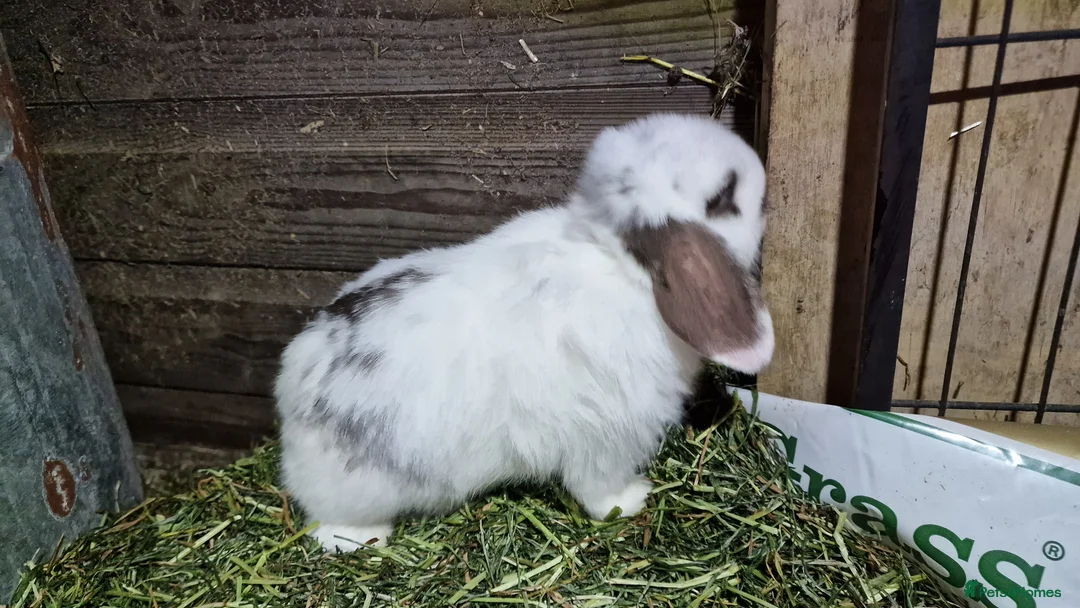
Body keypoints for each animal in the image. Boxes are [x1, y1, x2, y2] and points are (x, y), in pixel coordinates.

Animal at [273, 113, 774, 552]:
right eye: (723, 196)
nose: (760, 168)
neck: (618, 265)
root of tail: (294, 383)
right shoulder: (609, 435)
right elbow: (599, 489)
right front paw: (633, 500)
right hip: (355, 489)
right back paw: (361, 539)